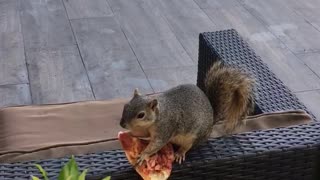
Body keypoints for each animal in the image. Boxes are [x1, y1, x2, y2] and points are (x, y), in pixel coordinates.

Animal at [119, 61, 255, 165]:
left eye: (141, 115)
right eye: (126, 105)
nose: (122, 124)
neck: (158, 115)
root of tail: (211, 121)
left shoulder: (165, 128)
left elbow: (157, 143)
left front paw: (143, 155)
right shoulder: (147, 130)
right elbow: (142, 134)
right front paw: (130, 134)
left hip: (194, 137)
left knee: (187, 147)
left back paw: (180, 153)